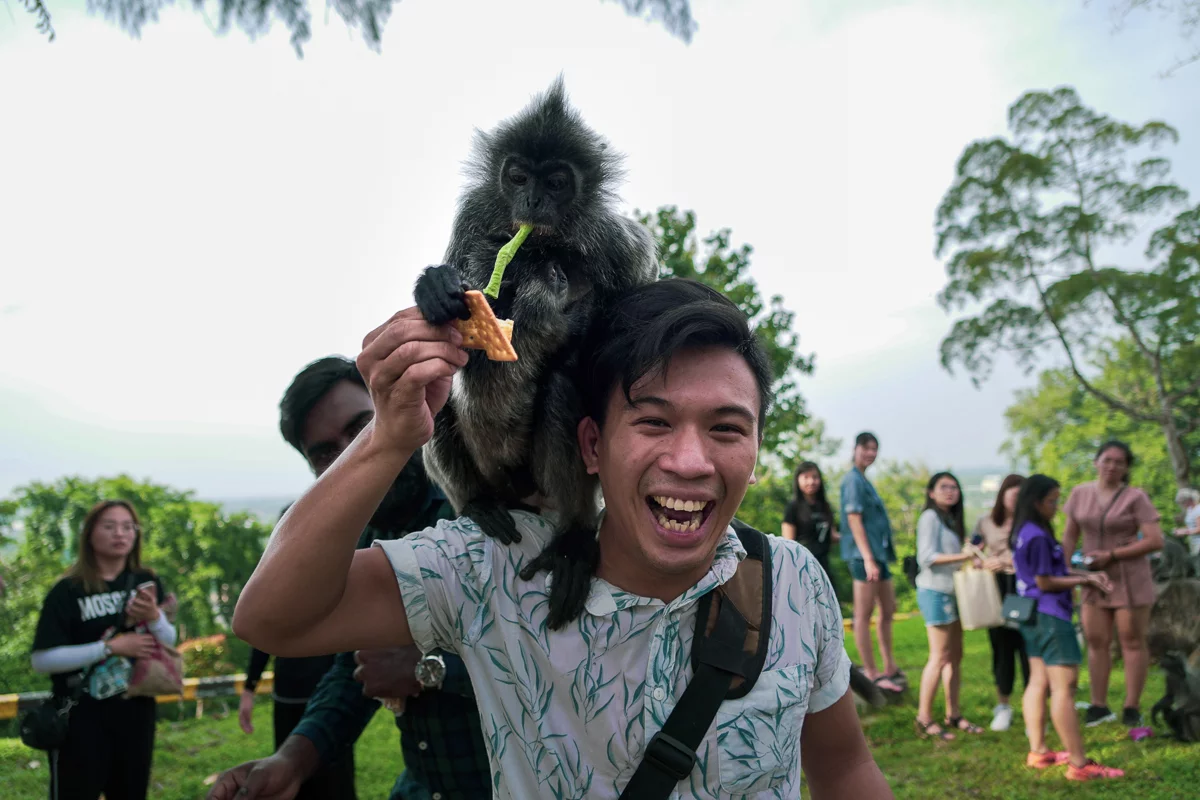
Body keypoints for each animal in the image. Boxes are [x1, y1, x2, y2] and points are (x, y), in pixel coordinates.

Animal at [412, 77, 657, 587]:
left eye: (557, 183)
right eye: (519, 178)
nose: (532, 202)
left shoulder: (620, 243)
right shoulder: (473, 214)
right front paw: (435, 286)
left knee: (562, 388)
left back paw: (575, 532)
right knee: (440, 399)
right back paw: (479, 503)